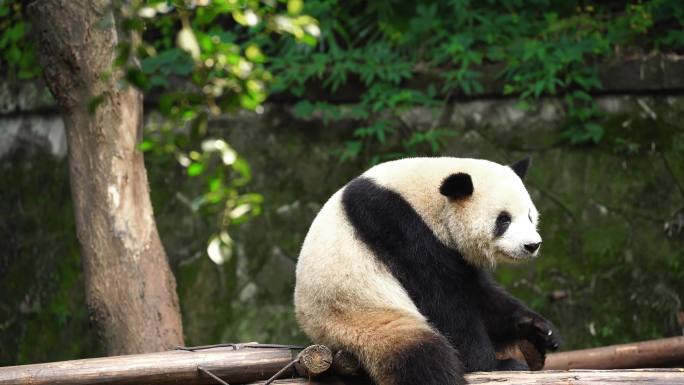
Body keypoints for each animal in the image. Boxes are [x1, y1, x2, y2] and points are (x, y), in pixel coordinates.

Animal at [294, 156, 560, 384]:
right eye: (503, 220)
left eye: (530, 216)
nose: (532, 245)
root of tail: (322, 337)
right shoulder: (399, 227)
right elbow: (445, 301)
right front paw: (490, 364)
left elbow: (481, 294)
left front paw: (539, 330)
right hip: (364, 318)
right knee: (425, 360)